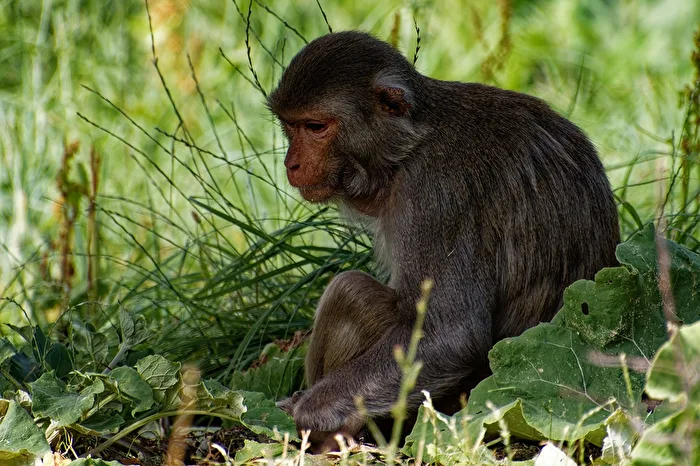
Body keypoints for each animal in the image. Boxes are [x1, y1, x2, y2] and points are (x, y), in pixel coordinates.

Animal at [267, 31, 620, 449]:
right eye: (290, 126)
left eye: (316, 126)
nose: (291, 164)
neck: (409, 148)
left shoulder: (435, 197)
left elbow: (454, 334)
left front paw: (309, 410)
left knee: (351, 290)